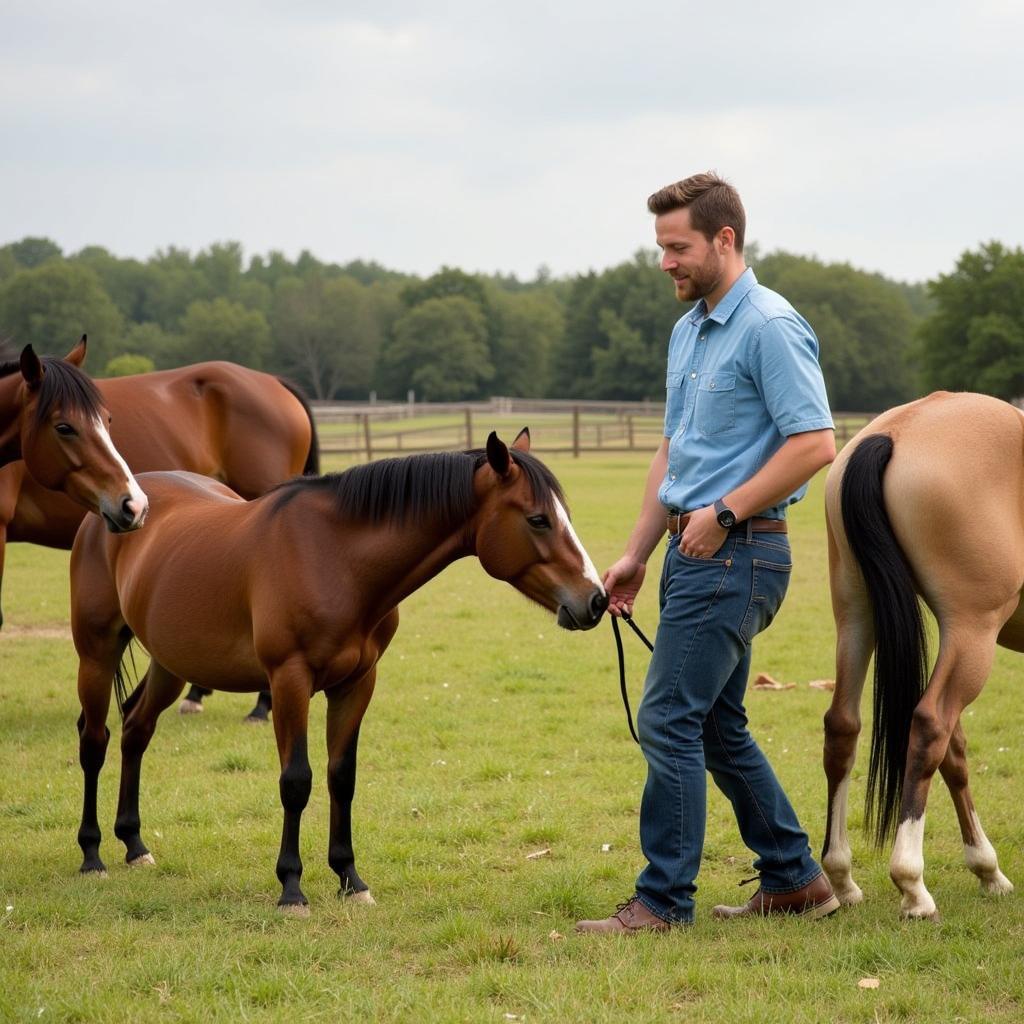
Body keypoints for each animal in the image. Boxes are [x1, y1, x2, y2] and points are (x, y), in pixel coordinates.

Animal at [68, 430, 606, 913]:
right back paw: (92, 854)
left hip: (171, 663)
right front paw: (291, 888)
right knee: (95, 741)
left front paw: (350, 878)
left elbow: (341, 776)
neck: (336, 558)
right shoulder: (289, 681)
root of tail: (118, 508)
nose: (597, 599)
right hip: (96, 654)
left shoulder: (356, 683)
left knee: (136, 729)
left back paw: (134, 845)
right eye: (538, 519)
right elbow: (296, 780)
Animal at [819, 391, 1019, 921]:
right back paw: (912, 885)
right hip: (973, 632)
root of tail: (897, 432)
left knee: (845, 726)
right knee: (932, 724)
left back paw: (843, 877)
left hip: (857, 612)